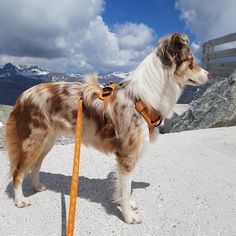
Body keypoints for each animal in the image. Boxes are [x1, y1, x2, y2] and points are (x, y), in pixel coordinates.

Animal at [4, 32, 209, 223]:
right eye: (191, 63)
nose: (210, 75)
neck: (142, 98)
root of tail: (23, 95)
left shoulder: (126, 156)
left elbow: (124, 187)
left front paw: (126, 204)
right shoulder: (127, 155)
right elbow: (126, 188)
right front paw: (128, 215)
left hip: (47, 141)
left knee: (35, 165)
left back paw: (37, 187)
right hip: (33, 141)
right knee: (18, 172)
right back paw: (20, 200)